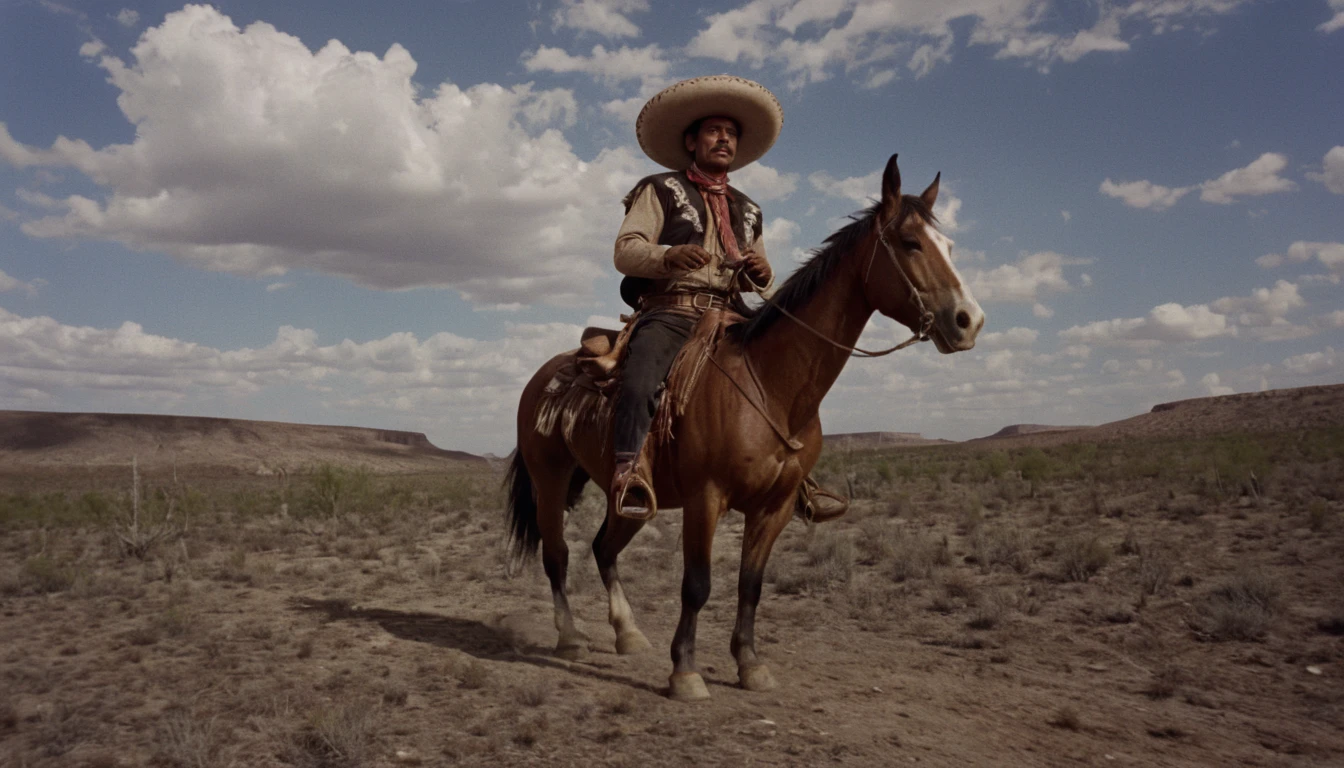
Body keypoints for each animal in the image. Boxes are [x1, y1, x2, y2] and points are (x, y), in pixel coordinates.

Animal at [505, 156, 989, 704]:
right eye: (910, 242)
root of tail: (546, 375)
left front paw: (750, 665)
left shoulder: (773, 507)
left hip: (629, 496)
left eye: (948, 244)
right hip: (550, 481)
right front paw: (685, 672)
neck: (772, 385)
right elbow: (697, 584)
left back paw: (627, 633)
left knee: (603, 548)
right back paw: (569, 637)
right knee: (558, 554)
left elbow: (750, 585)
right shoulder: (706, 498)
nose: (969, 321)